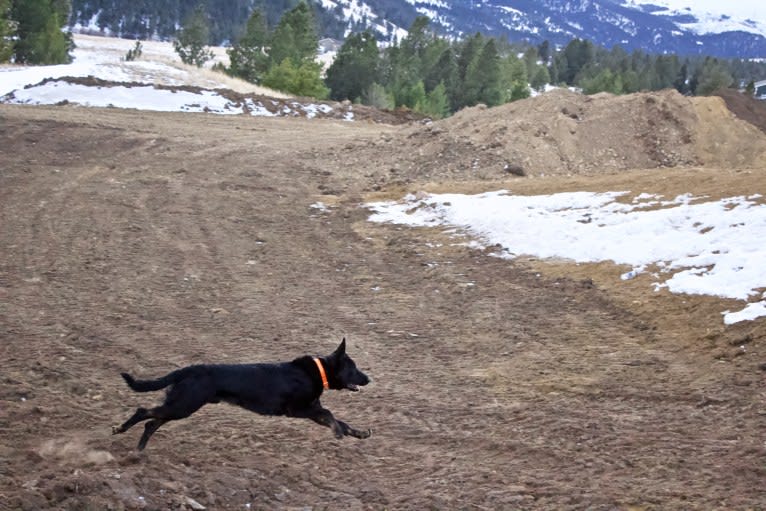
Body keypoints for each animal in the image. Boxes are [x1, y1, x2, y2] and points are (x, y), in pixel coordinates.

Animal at [113, 340, 372, 452]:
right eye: (353, 368)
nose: (369, 379)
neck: (317, 372)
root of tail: (188, 369)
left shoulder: (311, 411)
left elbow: (341, 420)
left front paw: (359, 433)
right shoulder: (298, 410)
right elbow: (331, 415)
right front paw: (338, 432)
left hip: (181, 405)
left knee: (151, 423)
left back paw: (139, 451)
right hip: (183, 405)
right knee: (144, 412)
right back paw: (120, 430)